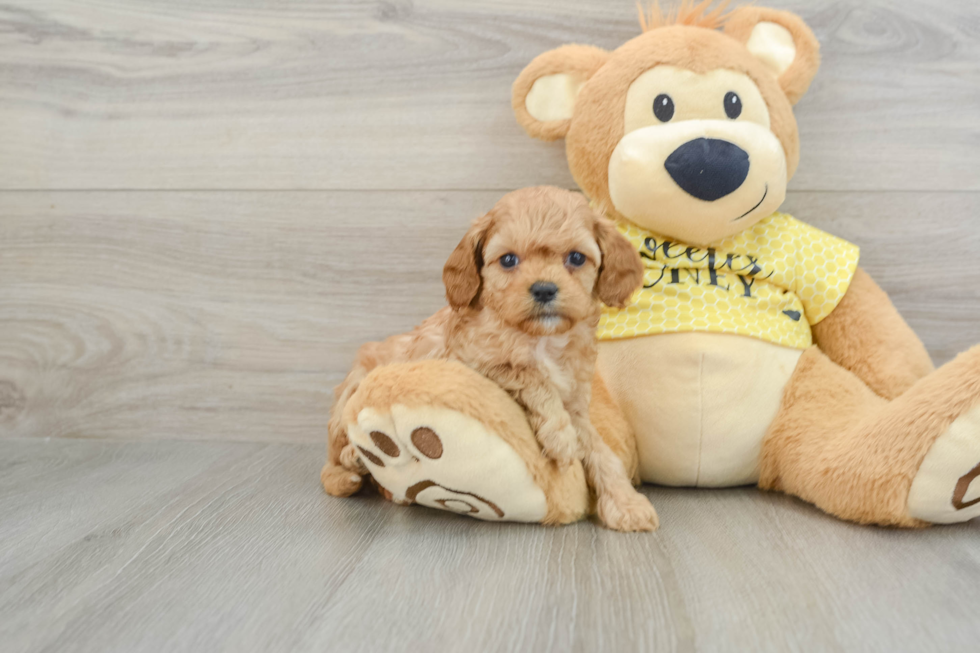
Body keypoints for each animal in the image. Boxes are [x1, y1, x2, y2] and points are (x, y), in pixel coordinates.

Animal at [328, 185, 660, 528]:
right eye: (509, 260)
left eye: (577, 257)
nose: (544, 289)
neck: (540, 339)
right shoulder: (469, 363)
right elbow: (529, 375)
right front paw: (560, 438)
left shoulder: (576, 404)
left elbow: (600, 451)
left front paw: (626, 503)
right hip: (352, 392)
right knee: (334, 458)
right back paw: (353, 462)